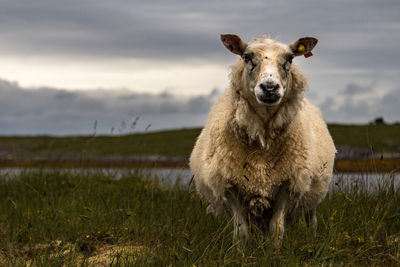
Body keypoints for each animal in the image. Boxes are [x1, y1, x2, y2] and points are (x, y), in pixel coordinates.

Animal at [189, 33, 336, 243]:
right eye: (246, 57)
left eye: (290, 58)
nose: (269, 88)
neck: (262, 144)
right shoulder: (229, 185)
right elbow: (241, 231)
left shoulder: (287, 183)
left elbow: (276, 229)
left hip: (313, 194)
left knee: (312, 219)